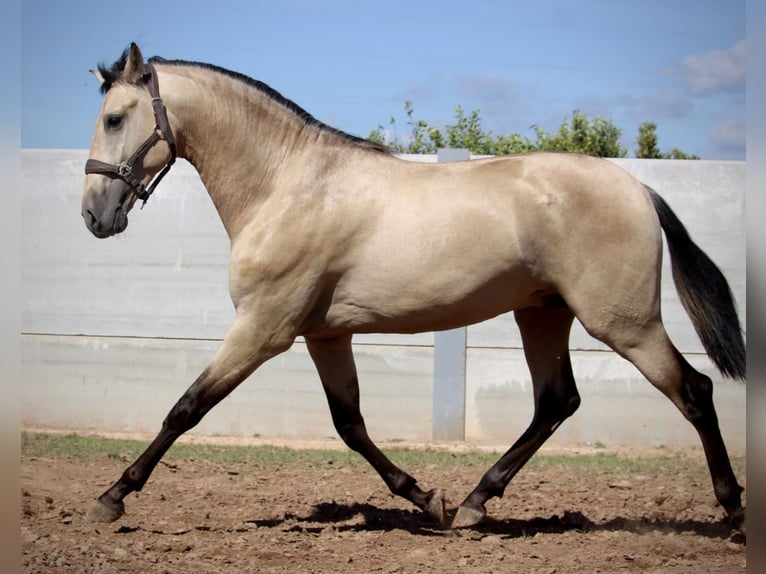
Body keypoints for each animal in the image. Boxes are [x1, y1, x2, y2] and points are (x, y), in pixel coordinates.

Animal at [81, 44, 748, 536]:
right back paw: (475, 503)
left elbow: (187, 407)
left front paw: (112, 497)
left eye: (114, 119)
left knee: (693, 391)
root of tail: (639, 189)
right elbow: (350, 424)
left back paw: (733, 507)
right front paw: (427, 500)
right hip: (542, 315)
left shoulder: (262, 329)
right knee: (556, 402)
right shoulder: (325, 336)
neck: (290, 185)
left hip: (624, 323)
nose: (93, 215)